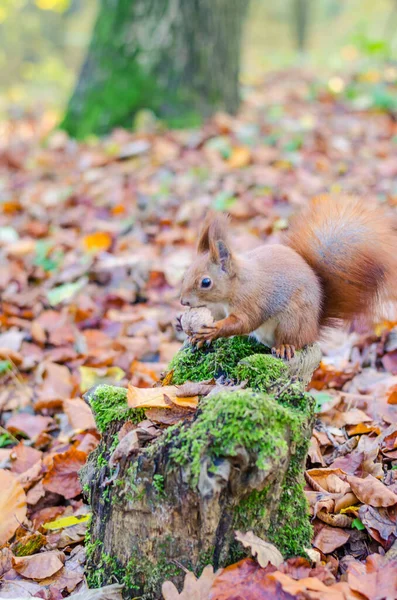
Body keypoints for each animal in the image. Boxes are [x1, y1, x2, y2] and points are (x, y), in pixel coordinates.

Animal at [179, 195, 396, 358]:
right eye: (186, 273)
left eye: (206, 282)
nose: (183, 301)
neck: (238, 285)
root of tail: (313, 329)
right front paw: (186, 327)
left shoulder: (252, 301)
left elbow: (244, 322)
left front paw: (212, 330)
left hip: (292, 321)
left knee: (293, 342)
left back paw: (285, 347)